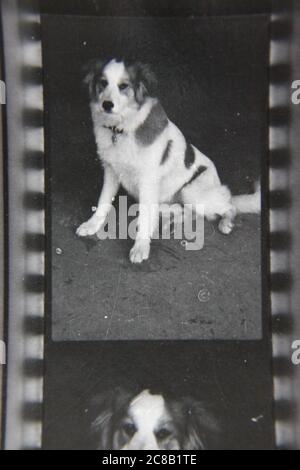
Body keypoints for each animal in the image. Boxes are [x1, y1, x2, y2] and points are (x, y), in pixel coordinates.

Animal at [77, 58, 260, 262]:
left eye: (123, 86)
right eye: (103, 83)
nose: (107, 105)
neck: (121, 129)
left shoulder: (147, 180)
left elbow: (144, 218)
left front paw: (141, 247)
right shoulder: (111, 171)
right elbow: (103, 202)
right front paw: (92, 225)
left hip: (191, 192)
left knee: (227, 205)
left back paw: (225, 222)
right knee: (186, 212)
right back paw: (165, 223)